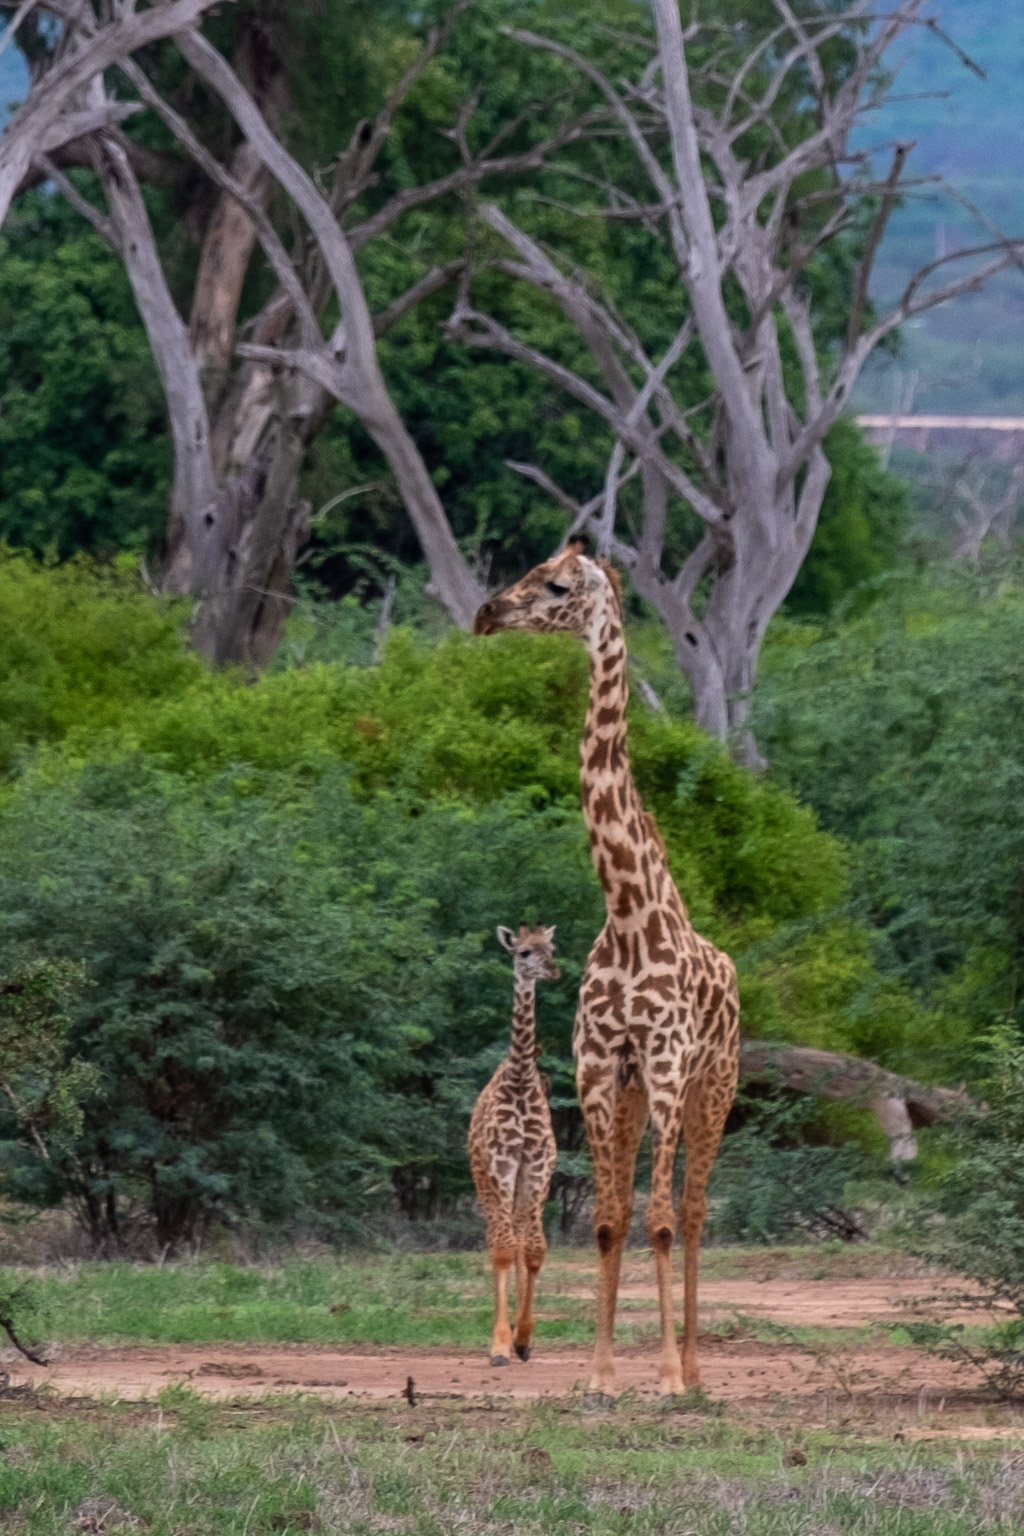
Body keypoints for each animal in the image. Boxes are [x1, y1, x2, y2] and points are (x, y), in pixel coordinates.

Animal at [474, 543, 740, 1399]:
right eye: (526, 572)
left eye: (555, 585)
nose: (487, 612)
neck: (627, 915)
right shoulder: (598, 1070)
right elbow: (604, 1220)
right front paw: (597, 1375)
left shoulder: (665, 1067)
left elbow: (657, 1220)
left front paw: (665, 1376)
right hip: (631, 1099)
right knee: (638, 1210)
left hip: (712, 1087)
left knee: (693, 1212)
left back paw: (695, 1369)